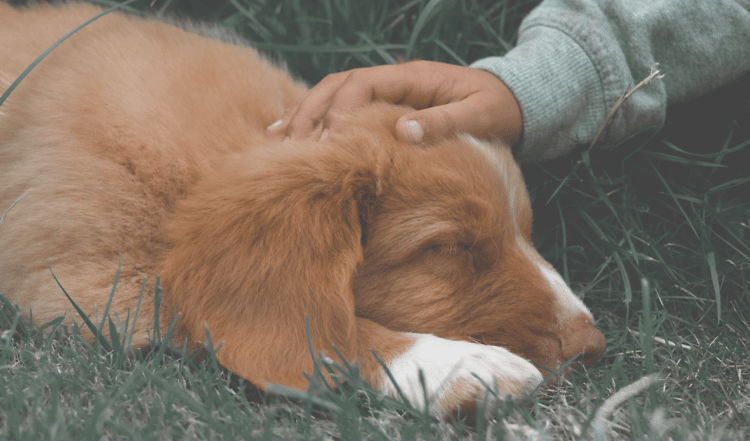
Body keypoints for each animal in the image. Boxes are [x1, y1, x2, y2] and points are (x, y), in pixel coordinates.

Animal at [0, 1, 604, 414]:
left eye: (525, 233)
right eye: (451, 247)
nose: (594, 347)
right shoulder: (94, 283)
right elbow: (325, 328)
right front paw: (457, 366)